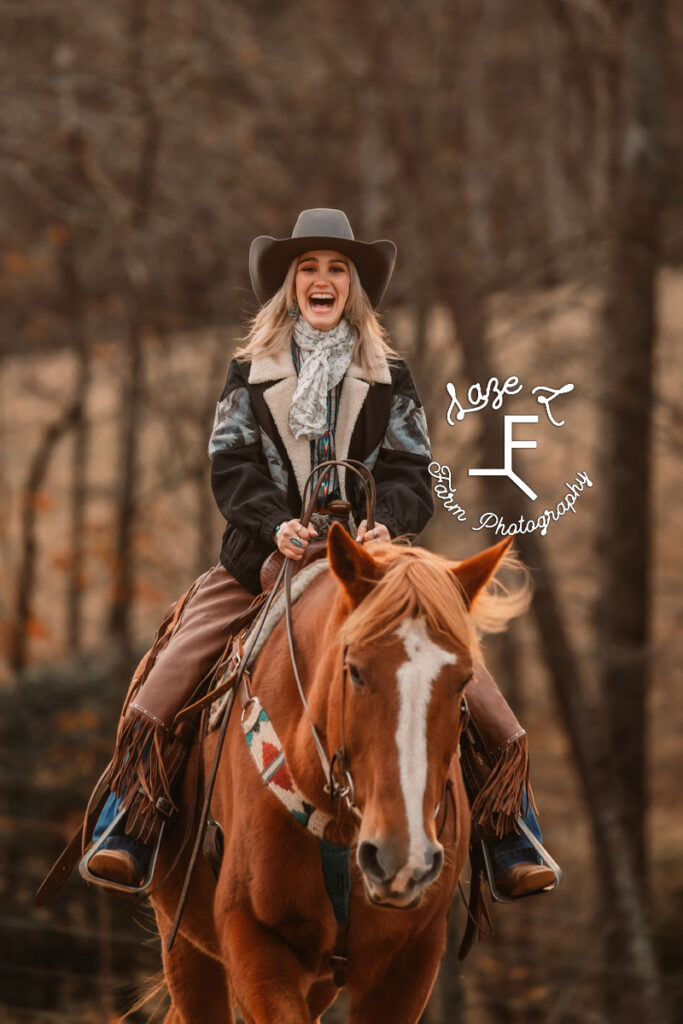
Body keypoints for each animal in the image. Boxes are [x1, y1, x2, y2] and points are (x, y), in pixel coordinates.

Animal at [150, 524, 524, 1019]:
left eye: (464, 681)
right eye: (355, 671)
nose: (400, 859)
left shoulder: (410, 962)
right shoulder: (251, 938)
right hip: (184, 946)